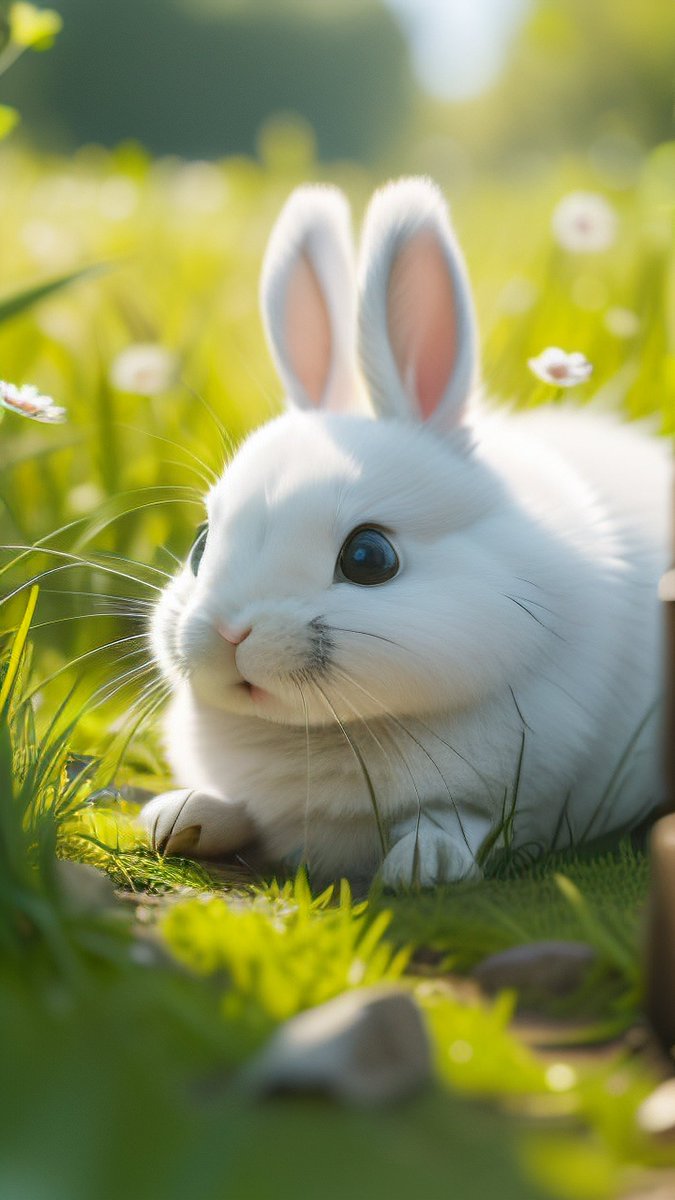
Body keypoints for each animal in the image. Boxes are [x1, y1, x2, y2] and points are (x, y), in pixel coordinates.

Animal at [140, 177, 670, 889]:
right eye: (200, 546)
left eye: (370, 557)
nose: (230, 632)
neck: (321, 735)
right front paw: (180, 817)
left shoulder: (516, 798)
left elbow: (459, 820)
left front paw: (426, 864)